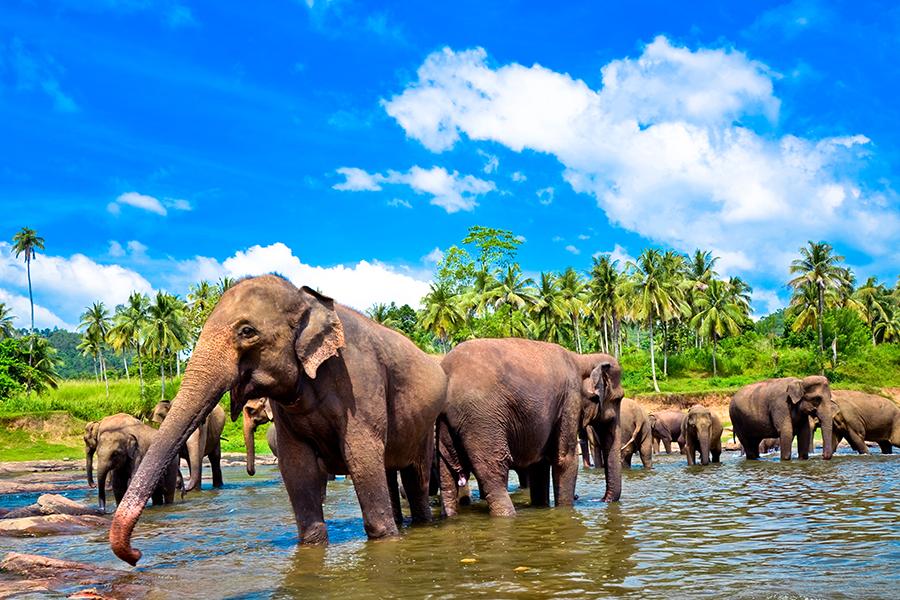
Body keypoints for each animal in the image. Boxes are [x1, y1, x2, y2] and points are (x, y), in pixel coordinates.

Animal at [110, 275, 447, 565]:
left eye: (247, 331)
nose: (136, 555)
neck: (307, 299)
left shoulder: (361, 383)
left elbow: (361, 456)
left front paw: (385, 540)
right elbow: (296, 465)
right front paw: (312, 545)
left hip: (425, 424)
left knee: (415, 477)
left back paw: (420, 523)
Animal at [437, 338, 624, 518]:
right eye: (618, 399)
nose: (599, 500)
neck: (582, 358)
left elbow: (539, 464)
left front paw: (541, 506)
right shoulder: (569, 401)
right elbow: (565, 460)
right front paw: (565, 511)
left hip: (446, 424)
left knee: (447, 475)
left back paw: (451, 516)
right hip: (482, 420)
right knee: (494, 473)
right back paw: (508, 515)